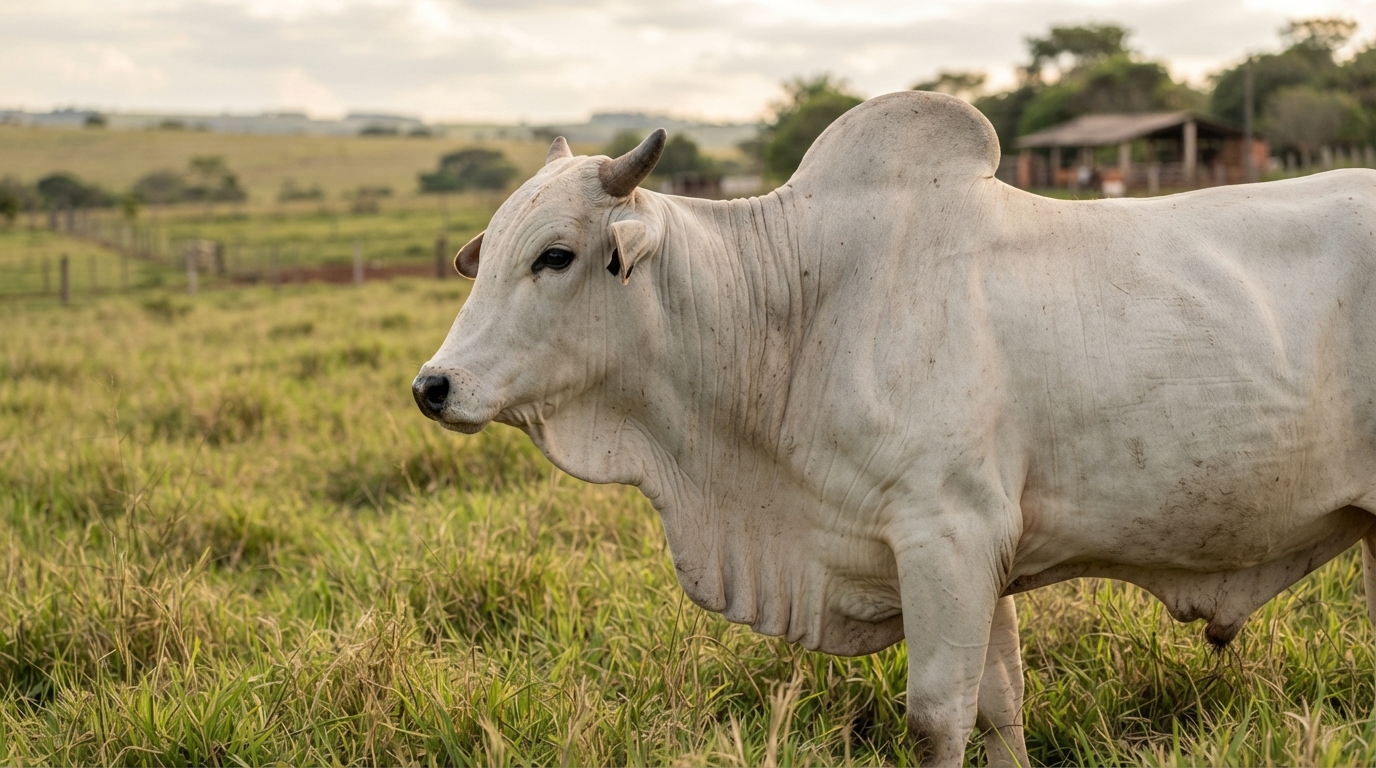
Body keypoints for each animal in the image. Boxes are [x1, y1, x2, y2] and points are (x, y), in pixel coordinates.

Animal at [412, 90, 1376, 765]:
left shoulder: (946, 536)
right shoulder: (984, 555)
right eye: (487, 254)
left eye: (555, 255)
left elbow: (937, 720)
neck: (796, 312)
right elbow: (1001, 705)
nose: (434, 386)